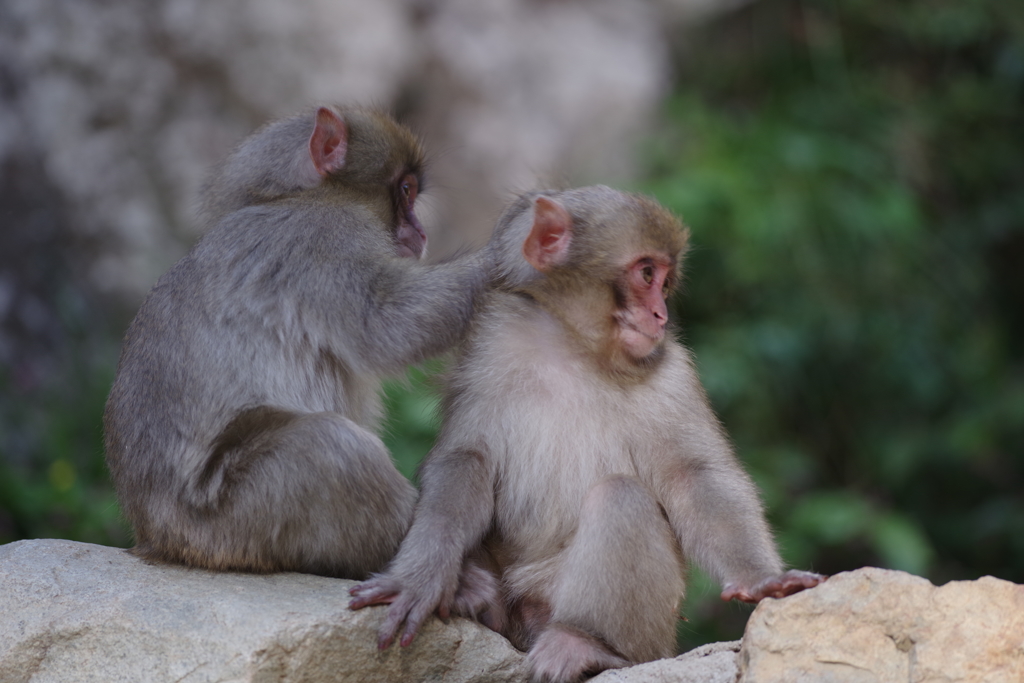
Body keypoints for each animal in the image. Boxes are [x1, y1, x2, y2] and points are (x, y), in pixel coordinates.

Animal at [103, 104, 491, 581]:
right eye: (406, 190)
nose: (420, 231)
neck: (302, 197)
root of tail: (158, 540)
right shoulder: (327, 237)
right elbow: (387, 327)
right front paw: (517, 249)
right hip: (233, 521)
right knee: (333, 447)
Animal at [350, 187, 823, 683]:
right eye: (648, 274)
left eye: (665, 284)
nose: (660, 315)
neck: (571, 345)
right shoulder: (488, 345)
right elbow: (464, 459)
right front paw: (421, 577)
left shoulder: (673, 375)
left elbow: (694, 477)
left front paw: (762, 579)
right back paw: (474, 595)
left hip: (643, 633)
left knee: (620, 498)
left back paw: (586, 644)